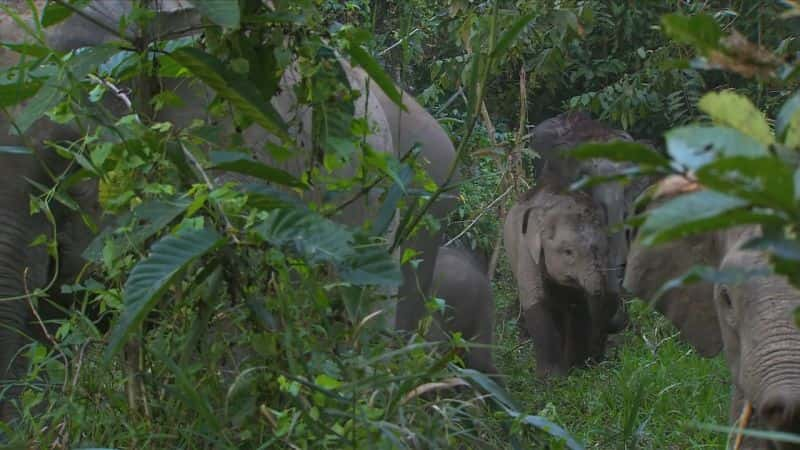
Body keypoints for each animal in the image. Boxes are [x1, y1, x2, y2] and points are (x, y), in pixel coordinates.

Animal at [500, 174, 620, 378]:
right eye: (568, 251)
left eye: (605, 248)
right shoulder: (527, 254)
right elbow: (536, 303)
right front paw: (551, 378)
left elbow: (579, 309)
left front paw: (578, 369)